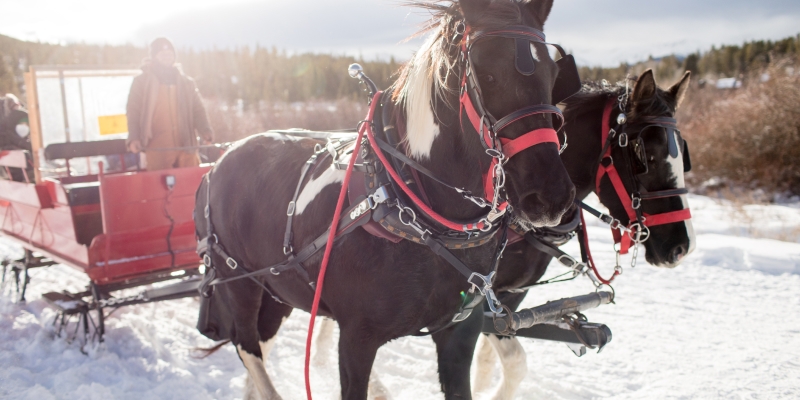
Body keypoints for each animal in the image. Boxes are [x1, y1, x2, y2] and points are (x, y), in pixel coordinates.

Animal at [197, 1, 580, 398]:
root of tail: (219, 161)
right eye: (486, 73)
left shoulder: (460, 332)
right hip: (238, 280)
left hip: (278, 287)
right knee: (247, 345)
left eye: (554, 74)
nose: (550, 196)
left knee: (262, 341)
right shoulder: (356, 339)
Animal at [316, 68, 696, 396]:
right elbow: (514, 360)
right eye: (643, 155)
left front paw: (483, 379)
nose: (682, 247)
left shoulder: (511, 295)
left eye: (684, 155)